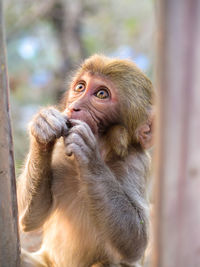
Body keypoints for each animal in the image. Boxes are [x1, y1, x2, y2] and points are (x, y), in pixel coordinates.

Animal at [17, 55, 155, 267]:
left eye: (101, 94)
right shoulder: (60, 150)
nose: (75, 107)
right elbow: (30, 217)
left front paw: (88, 153)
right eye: (80, 87)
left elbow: (136, 243)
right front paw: (43, 126)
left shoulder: (137, 162)